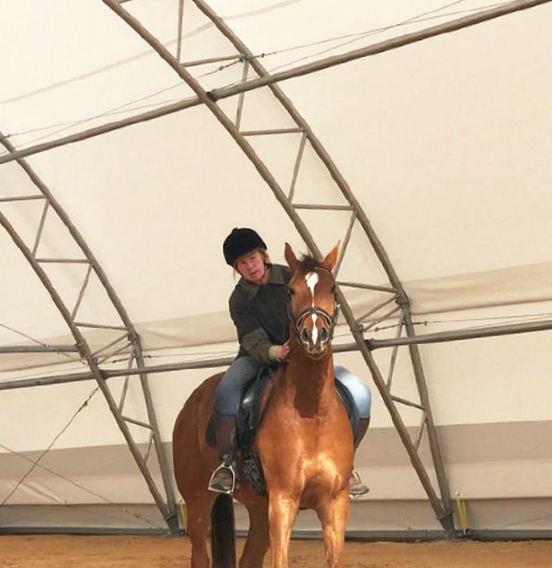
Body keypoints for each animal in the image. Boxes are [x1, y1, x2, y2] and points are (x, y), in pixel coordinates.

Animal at [172, 244, 354, 568]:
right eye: (291, 291)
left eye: (332, 288)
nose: (315, 337)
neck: (312, 412)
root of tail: (191, 403)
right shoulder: (283, 500)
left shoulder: (335, 502)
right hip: (197, 503)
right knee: (200, 556)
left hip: (257, 511)